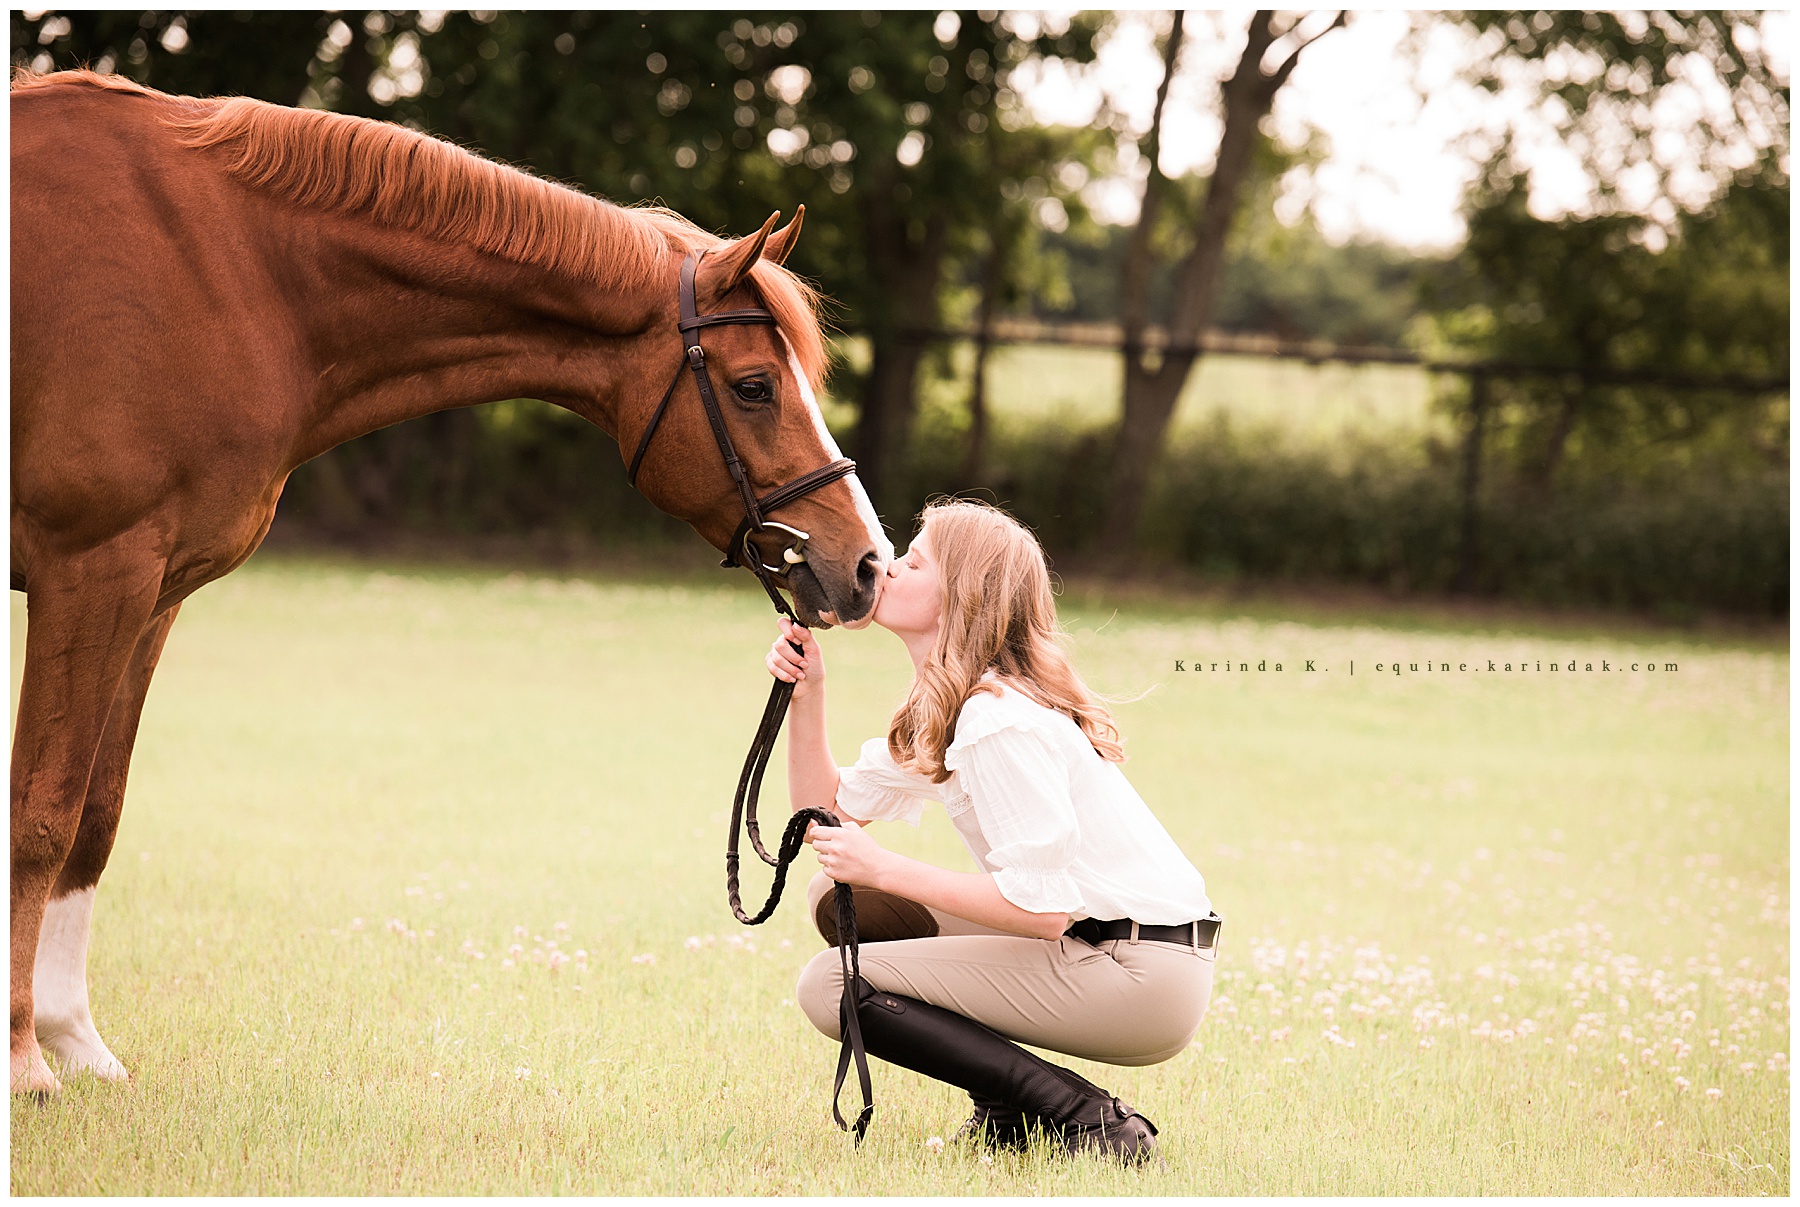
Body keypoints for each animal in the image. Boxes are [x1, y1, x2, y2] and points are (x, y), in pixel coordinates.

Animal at [10, 69, 889, 1095]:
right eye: (754, 386)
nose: (867, 562)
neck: (232, 272)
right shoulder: (93, 572)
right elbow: (41, 811)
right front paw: (26, 1057)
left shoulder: (152, 593)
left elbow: (95, 815)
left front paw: (74, 1038)